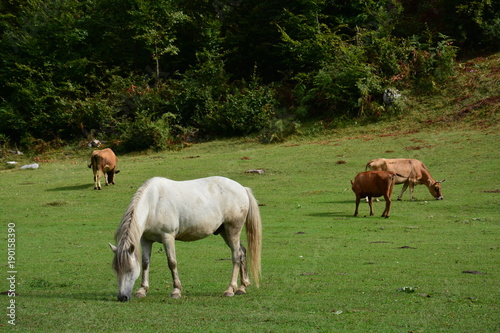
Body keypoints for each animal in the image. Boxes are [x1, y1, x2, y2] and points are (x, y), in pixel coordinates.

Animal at [109, 176, 262, 300]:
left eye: (130, 270)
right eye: (116, 270)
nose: (122, 297)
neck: (153, 203)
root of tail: (242, 189)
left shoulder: (168, 237)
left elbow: (172, 262)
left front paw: (176, 291)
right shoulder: (146, 240)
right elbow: (146, 263)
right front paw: (142, 290)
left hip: (232, 230)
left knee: (236, 256)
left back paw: (230, 289)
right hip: (225, 232)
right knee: (242, 252)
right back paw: (242, 287)